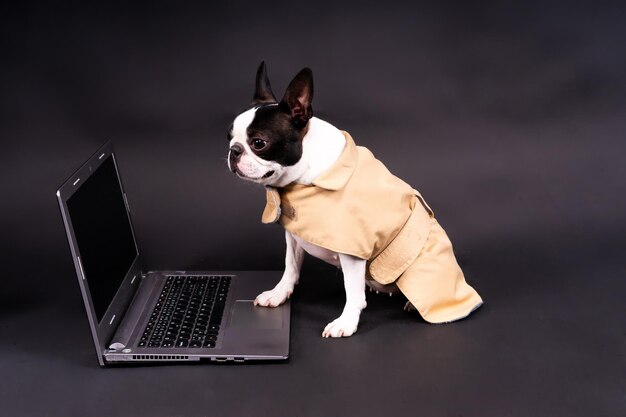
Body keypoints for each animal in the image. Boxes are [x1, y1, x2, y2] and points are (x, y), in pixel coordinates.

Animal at [227, 61, 480, 338]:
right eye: (229, 136)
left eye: (259, 143)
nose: (233, 151)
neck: (306, 176)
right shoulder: (294, 237)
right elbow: (290, 267)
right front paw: (279, 293)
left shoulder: (353, 249)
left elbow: (352, 292)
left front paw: (346, 322)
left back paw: (413, 303)